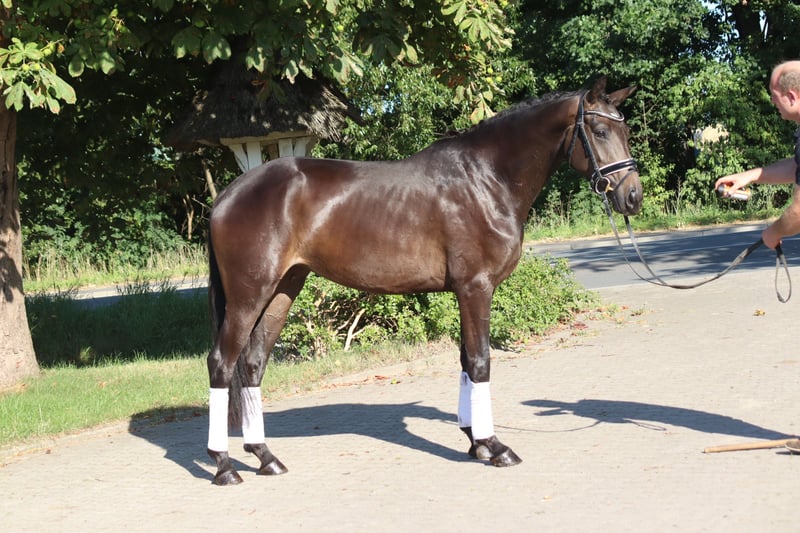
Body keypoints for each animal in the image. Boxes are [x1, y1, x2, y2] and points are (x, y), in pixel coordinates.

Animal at [205, 75, 642, 485]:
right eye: (599, 131)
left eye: (624, 131)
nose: (632, 196)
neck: (487, 179)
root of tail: (228, 194)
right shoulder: (476, 288)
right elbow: (481, 362)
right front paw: (495, 446)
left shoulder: (465, 291)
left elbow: (466, 361)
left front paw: (476, 442)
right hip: (249, 294)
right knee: (222, 363)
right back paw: (224, 465)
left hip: (283, 289)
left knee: (254, 363)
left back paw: (265, 456)